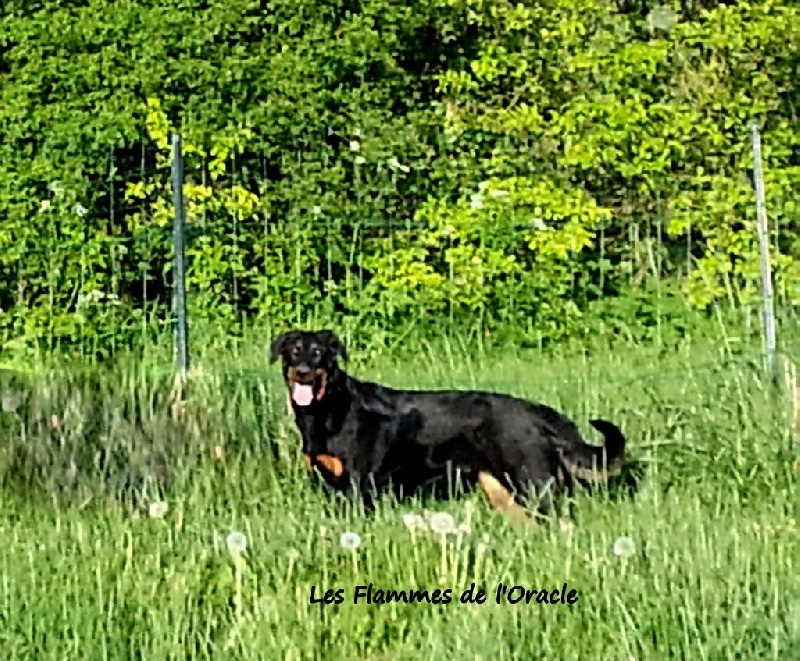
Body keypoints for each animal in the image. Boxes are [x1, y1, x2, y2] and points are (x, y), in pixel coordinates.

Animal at [270, 329, 628, 524]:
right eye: (293, 352)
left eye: (318, 353)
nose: (303, 371)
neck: (327, 411)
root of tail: (539, 413)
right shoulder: (329, 485)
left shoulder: (360, 486)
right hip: (501, 490)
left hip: (534, 483)